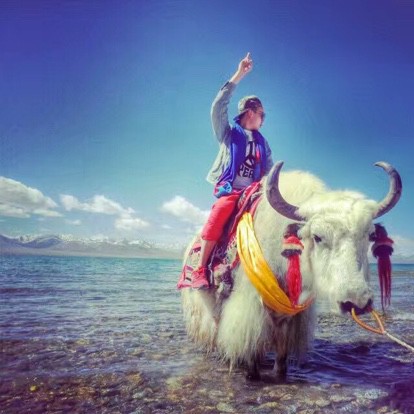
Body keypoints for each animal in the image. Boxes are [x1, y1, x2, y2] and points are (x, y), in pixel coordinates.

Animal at [181, 161, 402, 379]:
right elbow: (250, 356)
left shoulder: (290, 319)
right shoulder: (250, 311)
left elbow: (282, 359)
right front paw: (251, 372)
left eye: (370, 235)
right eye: (317, 237)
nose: (357, 302)